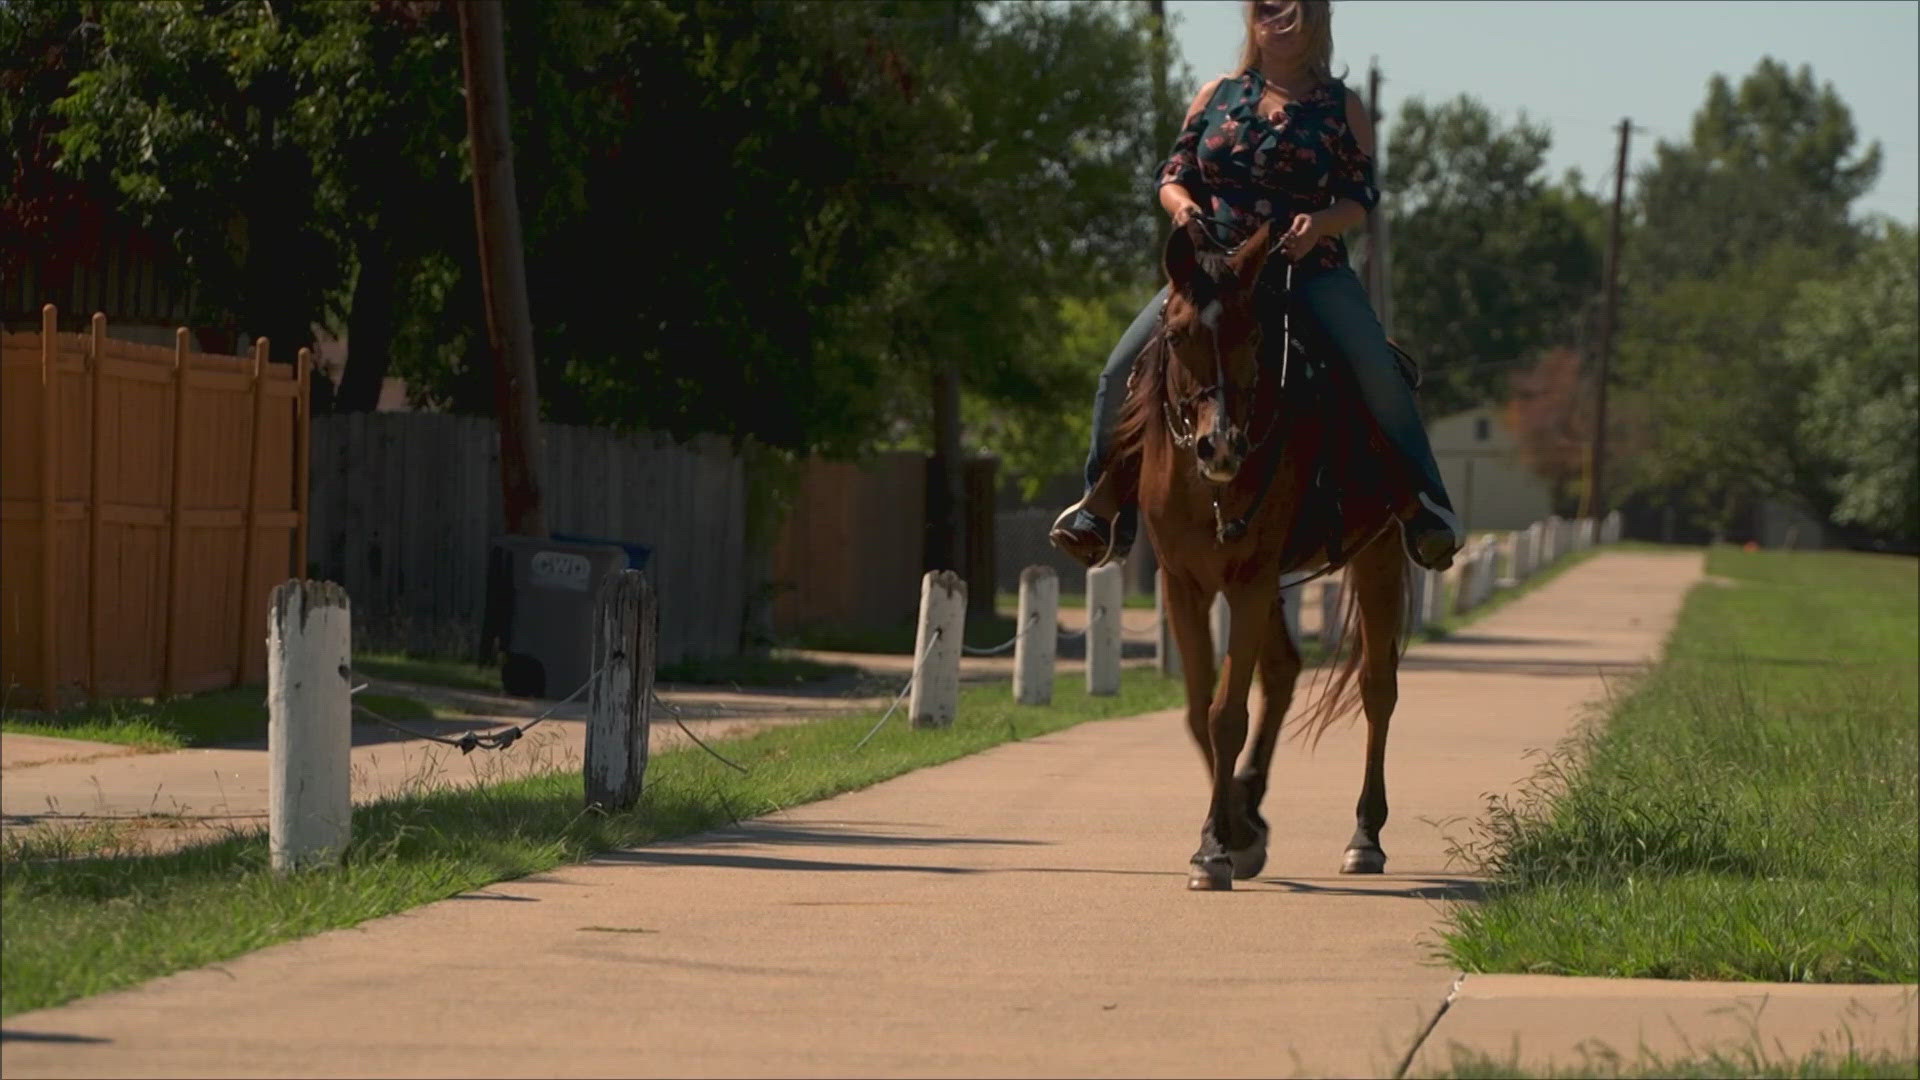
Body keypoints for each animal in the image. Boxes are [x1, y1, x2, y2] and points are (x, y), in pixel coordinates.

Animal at [1105, 214, 1420, 887]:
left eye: (1253, 334)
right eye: (1177, 332)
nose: (1220, 446)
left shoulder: (1249, 578)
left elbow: (1227, 713)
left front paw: (1215, 848)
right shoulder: (1185, 582)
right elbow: (1201, 707)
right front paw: (1233, 833)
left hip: (1376, 555)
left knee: (1377, 688)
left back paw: (1365, 836)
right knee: (1282, 671)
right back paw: (1251, 803)